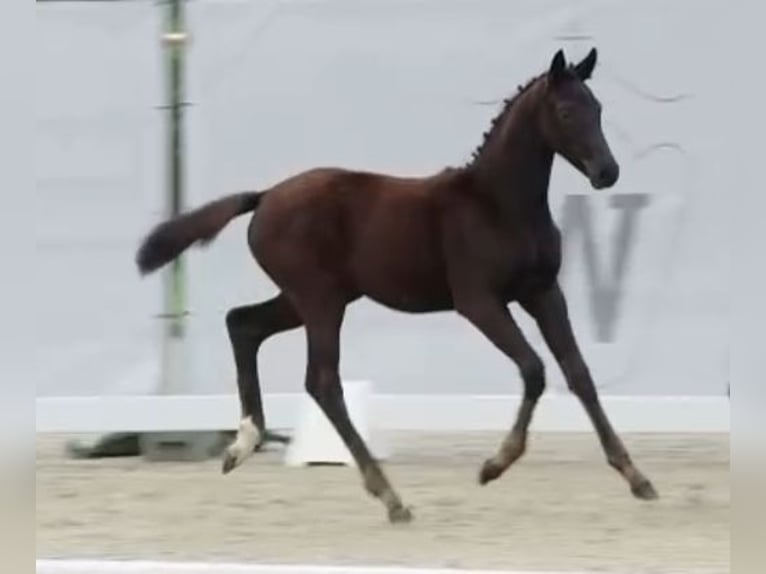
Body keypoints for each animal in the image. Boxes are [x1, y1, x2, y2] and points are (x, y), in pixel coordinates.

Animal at [135, 50, 656, 528]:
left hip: (307, 299)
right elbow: (534, 369)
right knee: (322, 381)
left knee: (243, 324)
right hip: (320, 300)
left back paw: (243, 444)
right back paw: (390, 497)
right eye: (566, 111)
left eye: (597, 108)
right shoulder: (479, 301)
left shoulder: (543, 292)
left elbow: (579, 373)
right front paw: (494, 466)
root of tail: (264, 197)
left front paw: (637, 477)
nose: (607, 172)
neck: (498, 204)